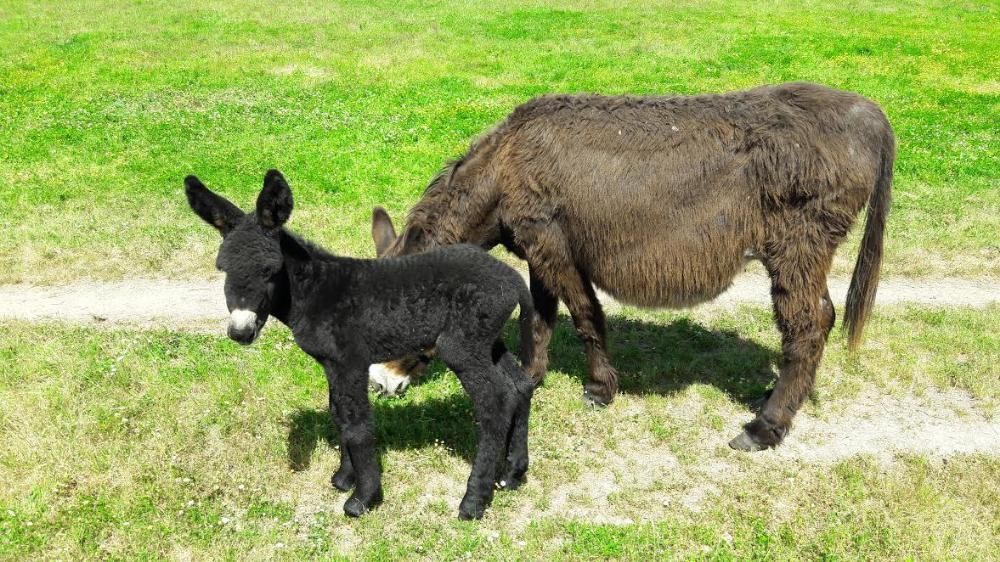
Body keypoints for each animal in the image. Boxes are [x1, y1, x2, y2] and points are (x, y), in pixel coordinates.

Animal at [184, 170, 536, 516]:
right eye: (222, 269)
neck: (314, 291)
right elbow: (339, 414)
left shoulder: (349, 361)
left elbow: (357, 425)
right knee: (519, 385)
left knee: (494, 403)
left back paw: (473, 500)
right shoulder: (332, 365)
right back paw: (512, 474)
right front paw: (344, 477)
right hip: (488, 343)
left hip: (462, 348)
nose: (240, 332)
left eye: (270, 271)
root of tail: (513, 279)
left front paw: (362, 498)